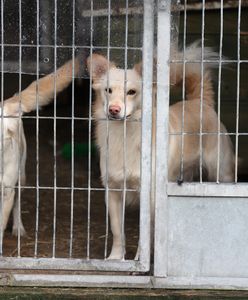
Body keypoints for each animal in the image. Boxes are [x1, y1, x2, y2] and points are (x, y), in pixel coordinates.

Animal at [86, 42, 234, 260]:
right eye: (108, 90)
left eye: (131, 92)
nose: (113, 110)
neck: (125, 134)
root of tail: (200, 102)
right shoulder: (113, 191)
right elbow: (117, 230)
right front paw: (116, 258)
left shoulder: (150, 195)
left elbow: (145, 234)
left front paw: (141, 260)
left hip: (220, 172)